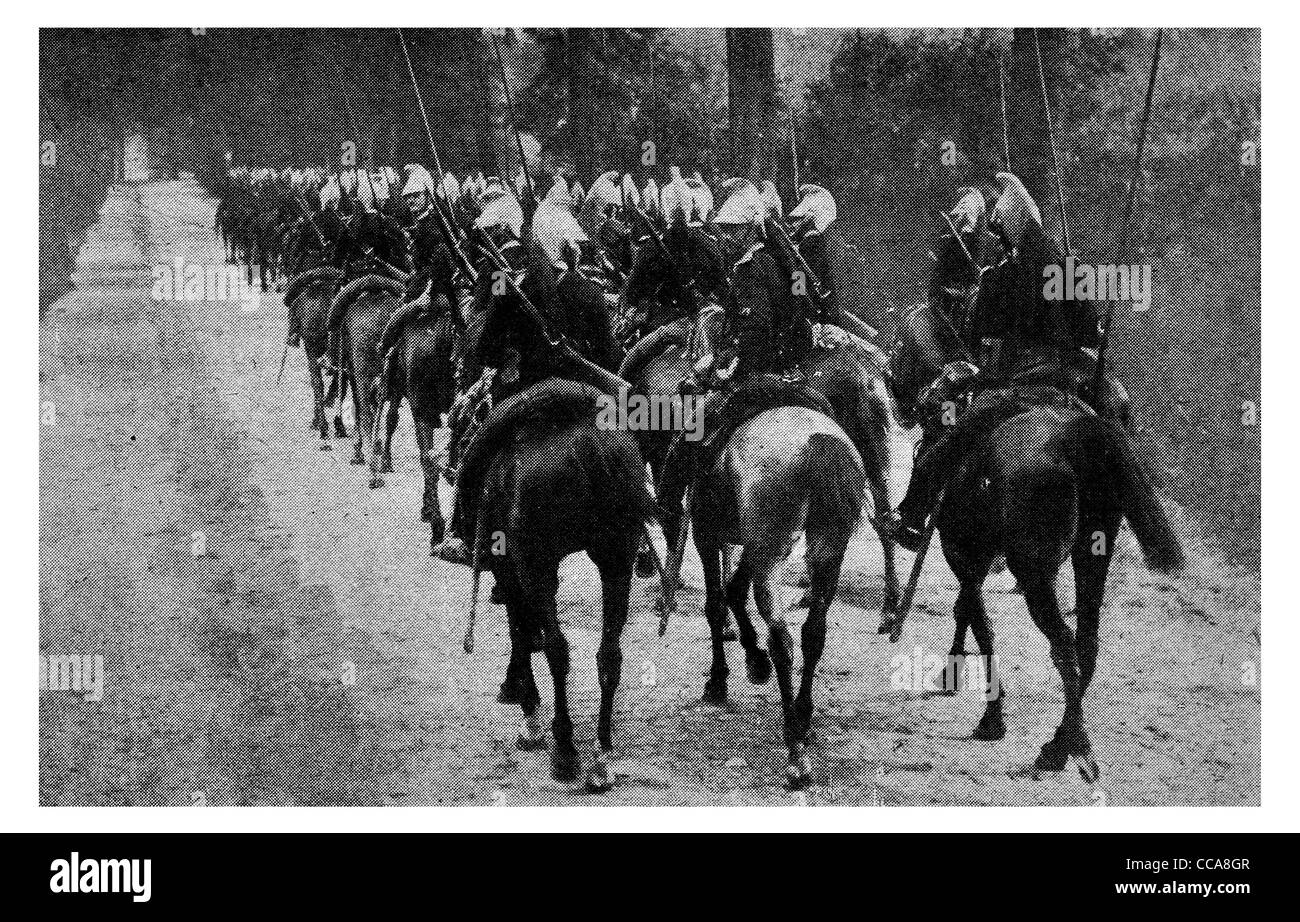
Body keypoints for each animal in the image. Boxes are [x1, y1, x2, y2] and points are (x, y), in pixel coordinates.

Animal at [883, 300, 1180, 775]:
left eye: (900, 346)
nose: (895, 390)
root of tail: (1079, 435)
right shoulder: (977, 556)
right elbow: (968, 611)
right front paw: (956, 673)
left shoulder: (963, 553)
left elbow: (978, 620)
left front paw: (991, 715)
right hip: (1092, 554)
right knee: (1085, 644)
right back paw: (1066, 739)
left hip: (1036, 573)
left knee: (1064, 646)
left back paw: (1063, 748)